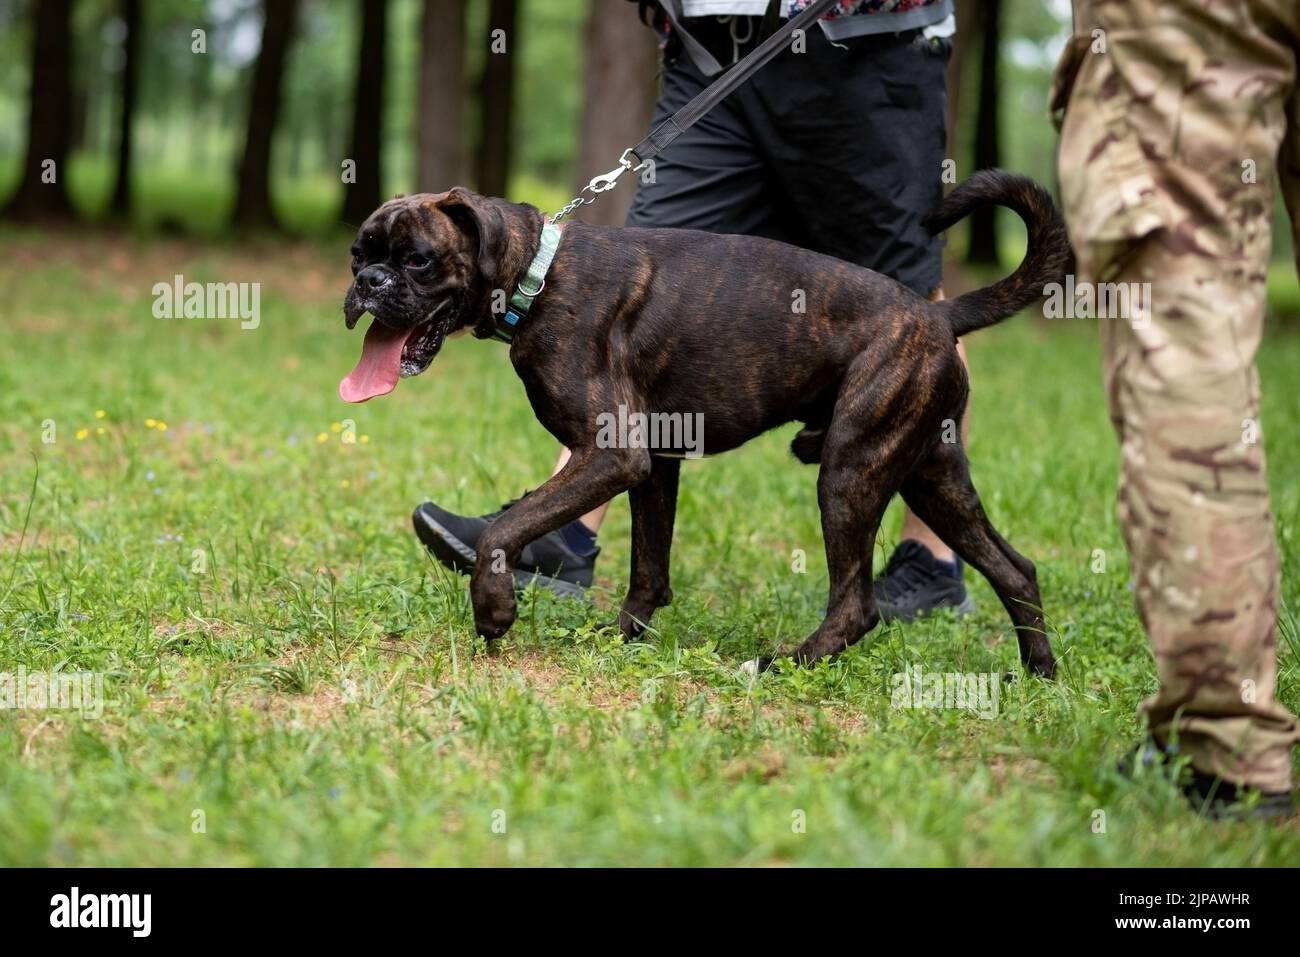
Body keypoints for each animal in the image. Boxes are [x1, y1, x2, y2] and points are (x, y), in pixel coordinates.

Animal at [340, 167, 1071, 676]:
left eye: (418, 259)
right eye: (359, 253)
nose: (367, 283)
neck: (537, 276)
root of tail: (937, 314)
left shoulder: (612, 454)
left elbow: (506, 527)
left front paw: (494, 607)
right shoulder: (654, 464)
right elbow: (648, 568)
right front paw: (619, 639)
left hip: (850, 471)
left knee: (857, 604)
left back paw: (782, 665)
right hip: (931, 476)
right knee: (1016, 570)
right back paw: (1038, 675)